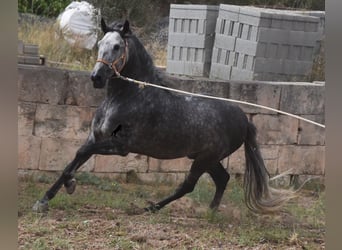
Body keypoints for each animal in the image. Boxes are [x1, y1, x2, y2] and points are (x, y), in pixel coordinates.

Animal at [32, 19, 294, 214]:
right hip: (207, 158)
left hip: (204, 160)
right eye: (100, 43)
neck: (130, 96)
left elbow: (81, 155)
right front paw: (44, 200)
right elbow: (75, 158)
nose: (96, 77)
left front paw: (70, 186)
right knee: (223, 179)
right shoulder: (96, 137)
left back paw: (149, 209)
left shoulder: (121, 146)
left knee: (188, 186)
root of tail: (244, 120)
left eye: (117, 46)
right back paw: (210, 211)